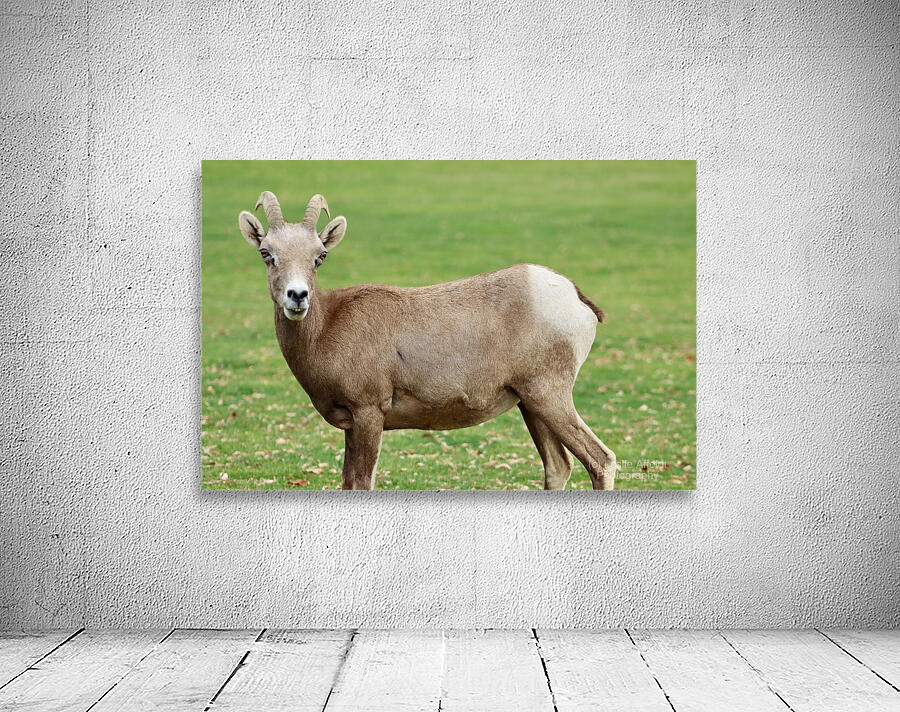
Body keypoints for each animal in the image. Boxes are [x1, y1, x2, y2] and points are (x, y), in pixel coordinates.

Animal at [238, 191, 616, 490]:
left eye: (319, 256)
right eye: (266, 253)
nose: (297, 296)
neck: (327, 328)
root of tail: (575, 297)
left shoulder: (368, 413)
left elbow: (361, 483)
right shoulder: (352, 425)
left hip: (549, 395)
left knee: (601, 460)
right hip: (531, 404)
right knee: (558, 467)